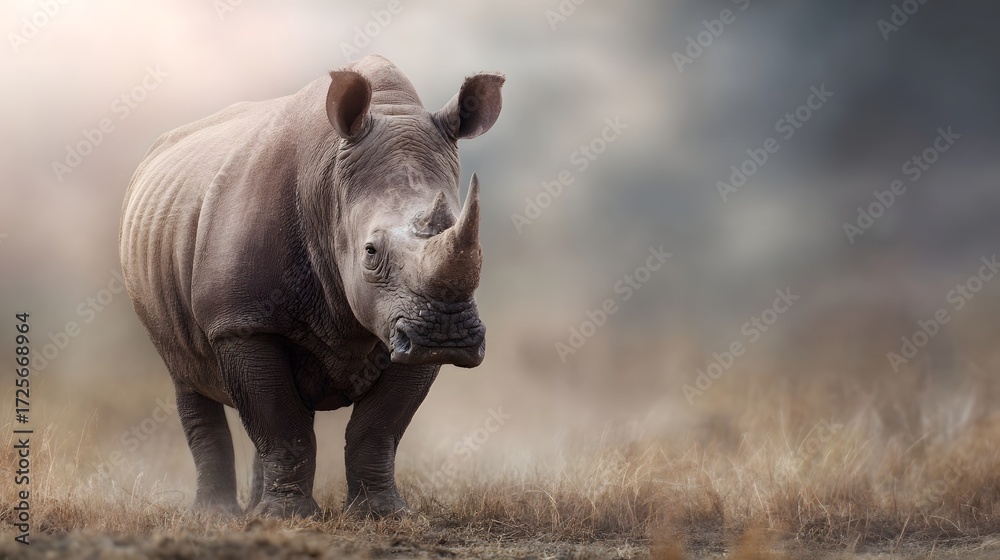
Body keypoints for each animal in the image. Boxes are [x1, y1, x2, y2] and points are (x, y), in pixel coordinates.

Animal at [118, 55, 504, 518]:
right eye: (370, 252)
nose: (447, 333)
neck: (330, 188)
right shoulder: (241, 321)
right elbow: (282, 424)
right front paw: (286, 518)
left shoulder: (407, 331)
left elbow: (378, 428)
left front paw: (381, 514)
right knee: (187, 377)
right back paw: (217, 516)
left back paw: (251, 508)